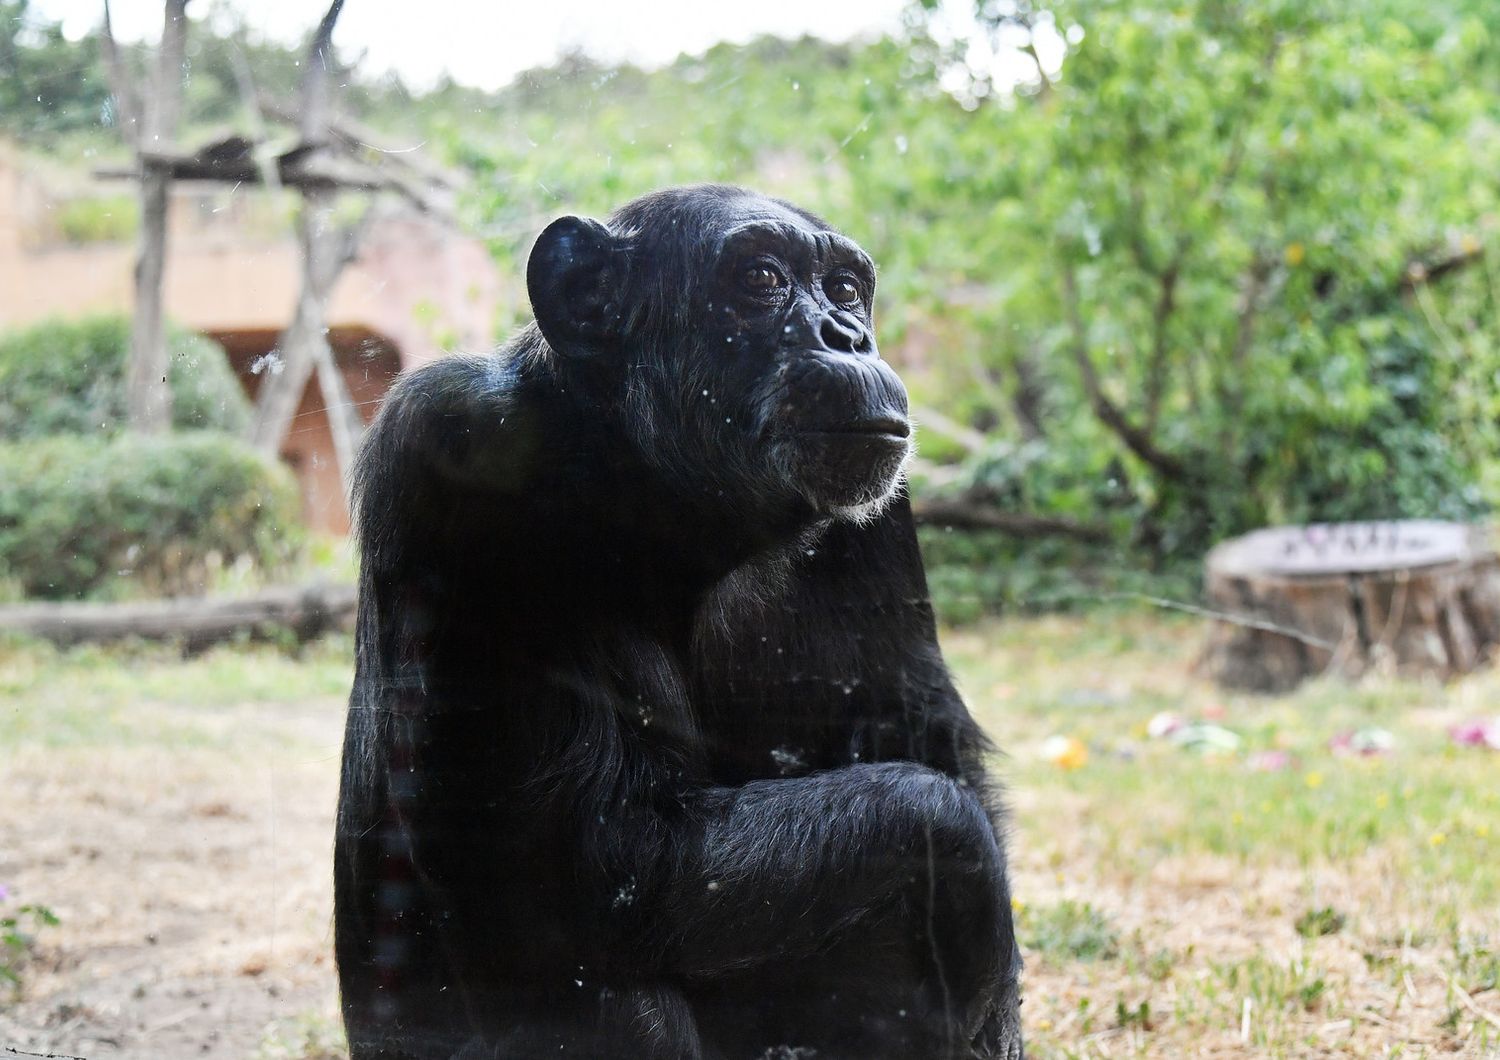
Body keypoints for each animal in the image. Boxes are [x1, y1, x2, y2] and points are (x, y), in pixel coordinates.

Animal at [334, 186, 1026, 1055]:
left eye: (844, 289)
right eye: (761, 278)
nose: (847, 336)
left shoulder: (886, 507)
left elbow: (924, 732)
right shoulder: (448, 444)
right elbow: (594, 860)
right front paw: (963, 866)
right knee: (614, 984)